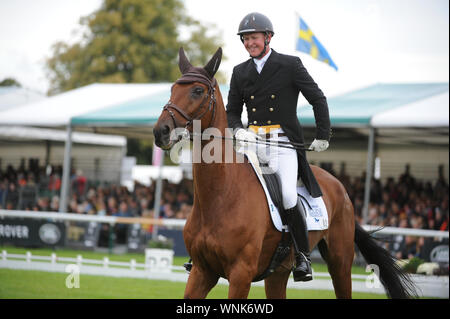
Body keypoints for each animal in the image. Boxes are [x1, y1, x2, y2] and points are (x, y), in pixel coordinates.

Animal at [153, 47, 416, 300]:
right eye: (173, 88)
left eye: (197, 91)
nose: (160, 131)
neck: (220, 196)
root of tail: (339, 186)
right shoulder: (202, 271)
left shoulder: (241, 274)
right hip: (277, 273)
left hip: (340, 262)